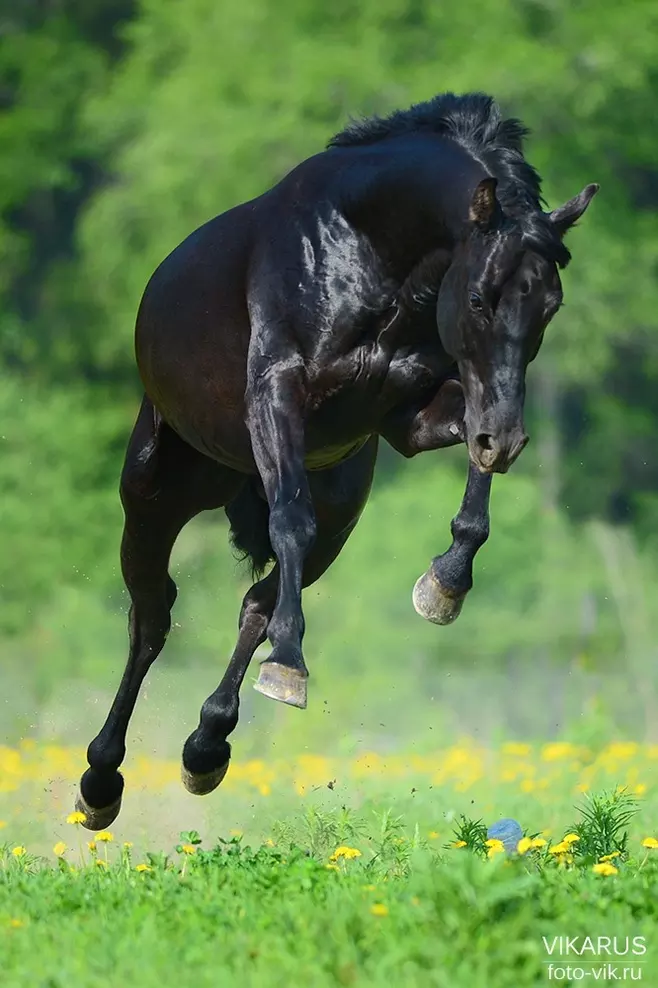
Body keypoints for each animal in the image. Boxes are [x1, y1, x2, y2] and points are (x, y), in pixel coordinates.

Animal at [75, 94, 596, 832]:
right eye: (478, 299)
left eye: (550, 304)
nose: (510, 439)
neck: (365, 249)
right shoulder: (276, 395)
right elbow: (290, 521)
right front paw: (294, 664)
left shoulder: (411, 420)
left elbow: (469, 474)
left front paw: (445, 584)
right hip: (154, 497)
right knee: (151, 620)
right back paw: (100, 781)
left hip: (340, 512)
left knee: (256, 603)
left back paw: (208, 743)